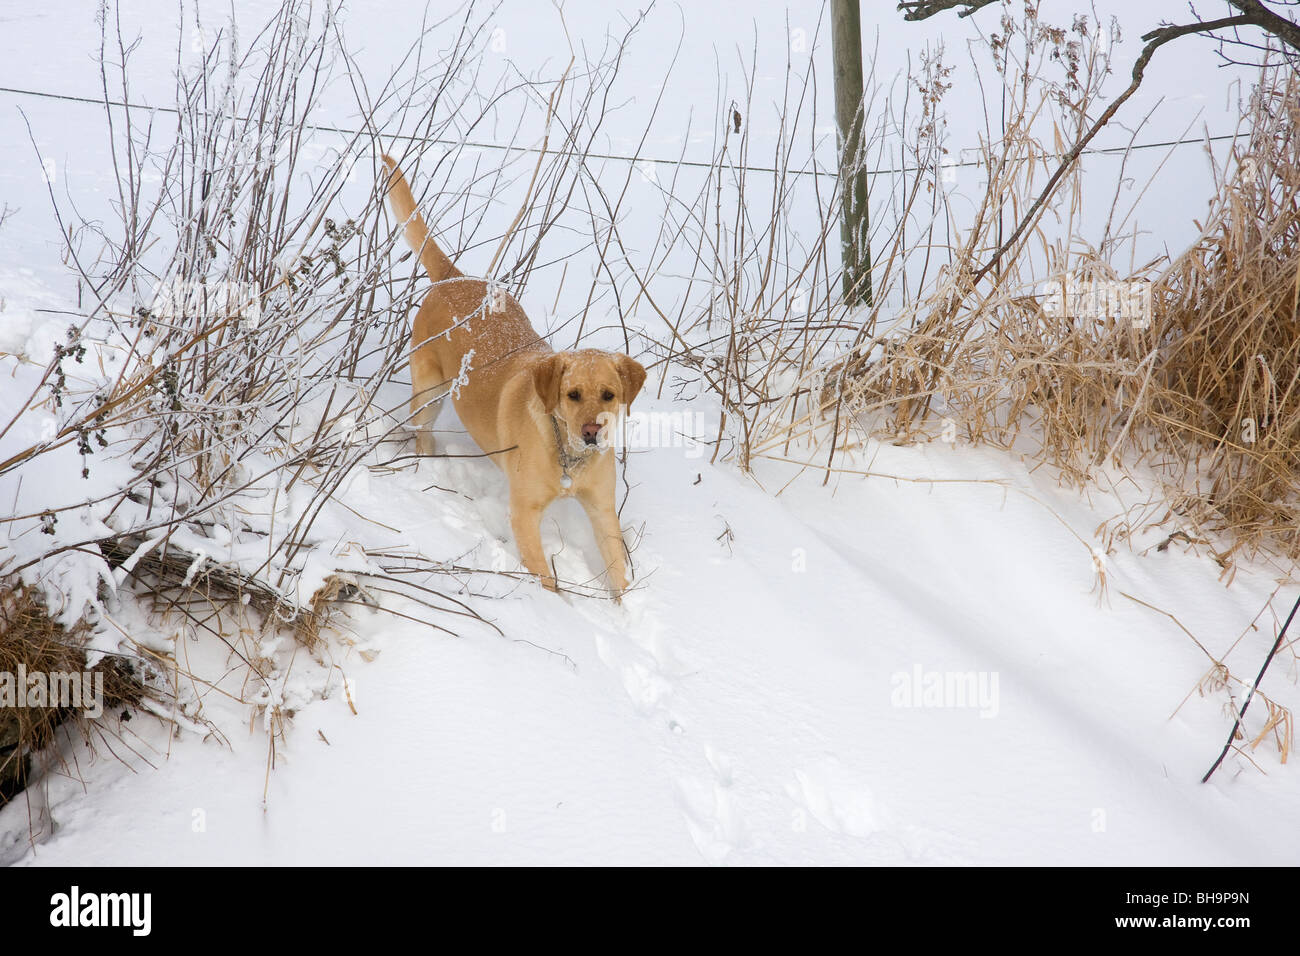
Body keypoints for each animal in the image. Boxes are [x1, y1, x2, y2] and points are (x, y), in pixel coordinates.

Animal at [379, 155, 644, 598]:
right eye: (572, 394)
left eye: (608, 394)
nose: (592, 431)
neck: (567, 456)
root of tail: (453, 275)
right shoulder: (524, 513)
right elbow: (545, 579)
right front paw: (553, 607)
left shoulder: (603, 513)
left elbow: (619, 576)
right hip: (429, 392)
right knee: (422, 432)